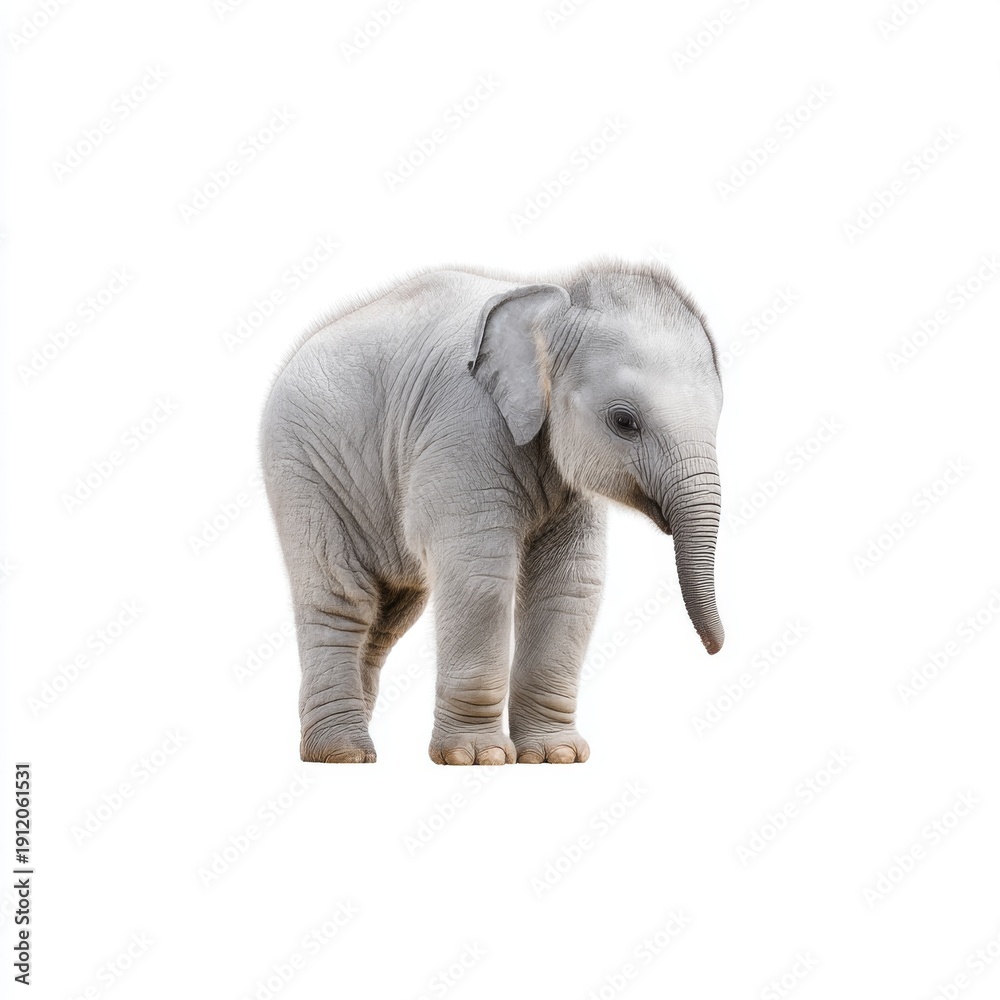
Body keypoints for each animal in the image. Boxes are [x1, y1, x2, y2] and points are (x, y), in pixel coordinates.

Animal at [259, 260, 724, 765]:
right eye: (624, 422)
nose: (716, 649)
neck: (554, 305)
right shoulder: (462, 426)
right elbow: (479, 575)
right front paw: (477, 757)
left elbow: (571, 582)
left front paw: (555, 756)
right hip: (303, 467)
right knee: (343, 597)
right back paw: (344, 754)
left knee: (389, 614)